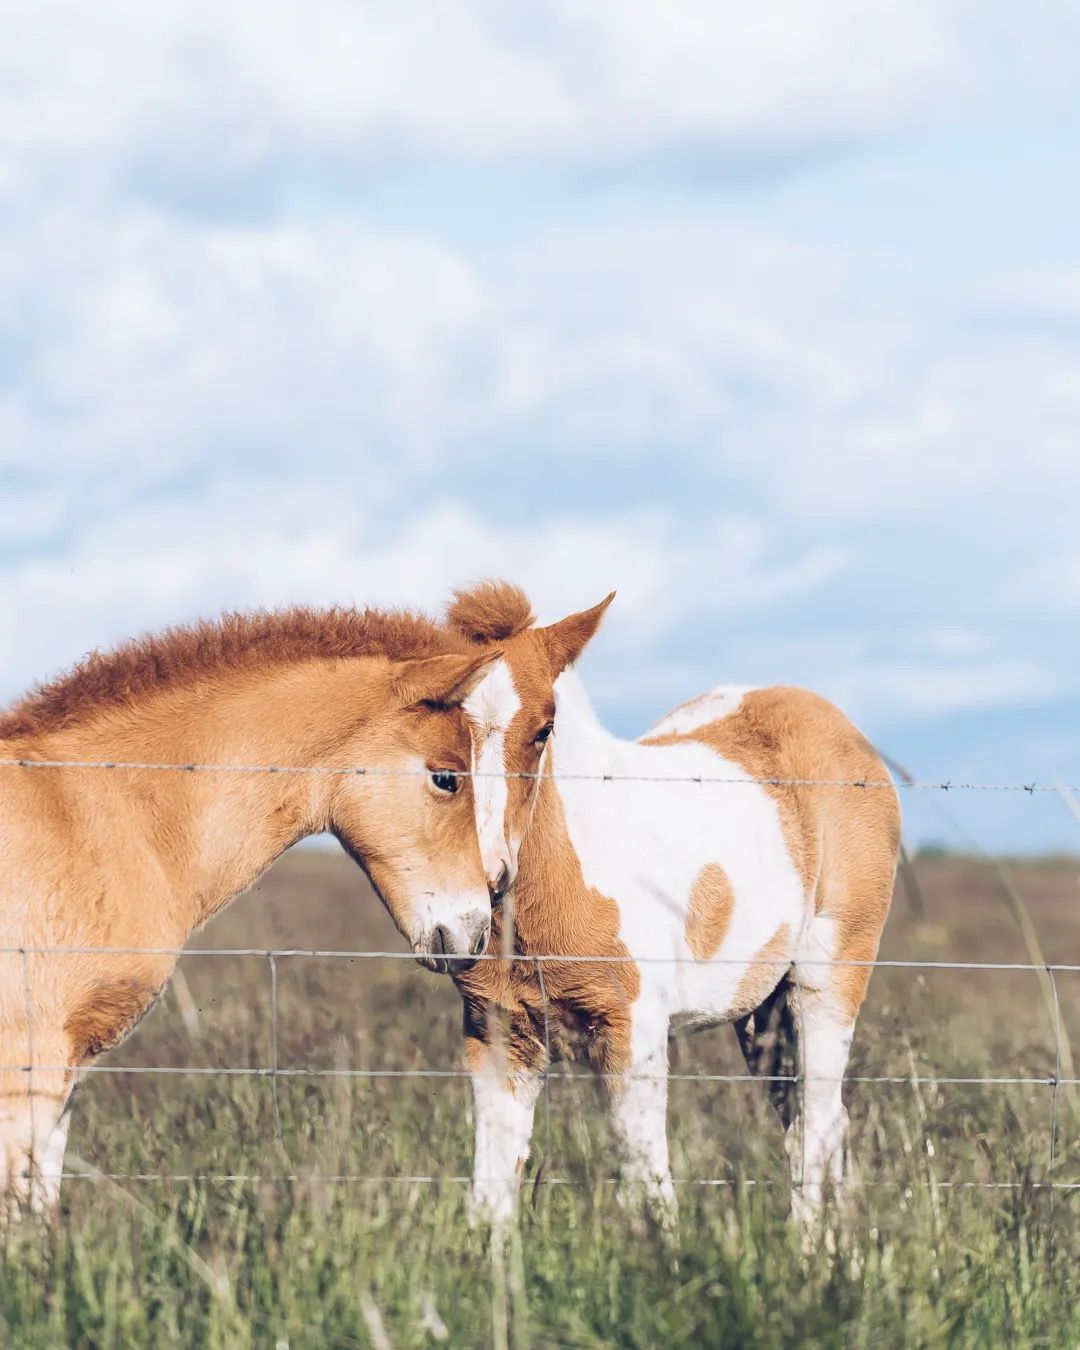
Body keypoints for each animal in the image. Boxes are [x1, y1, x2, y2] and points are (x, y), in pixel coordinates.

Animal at [447, 581, 901, 1236]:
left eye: (544, 727)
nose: (489, 872)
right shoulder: (498, 1033)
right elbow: (490, 1189)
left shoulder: (632, 1029)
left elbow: (647, 1184)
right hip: (762, 1014)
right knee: (814, 1122)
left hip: (828, 981)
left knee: (816, 1123)